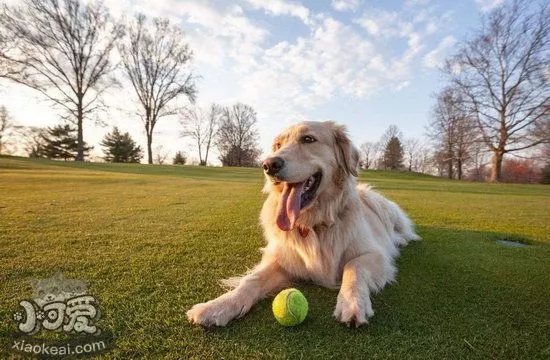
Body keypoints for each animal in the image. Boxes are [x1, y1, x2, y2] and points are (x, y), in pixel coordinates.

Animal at [188, 120, 420, 326]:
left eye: (308, 139)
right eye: (278, 145)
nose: (268, 165)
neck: (314, 224)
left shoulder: (375, 254)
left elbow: (353, 267)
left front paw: (352, 302)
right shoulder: (283, 259)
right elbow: (251, 280)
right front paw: (219, 306)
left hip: (382, 206)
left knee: (403, 231)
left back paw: (401, 240)